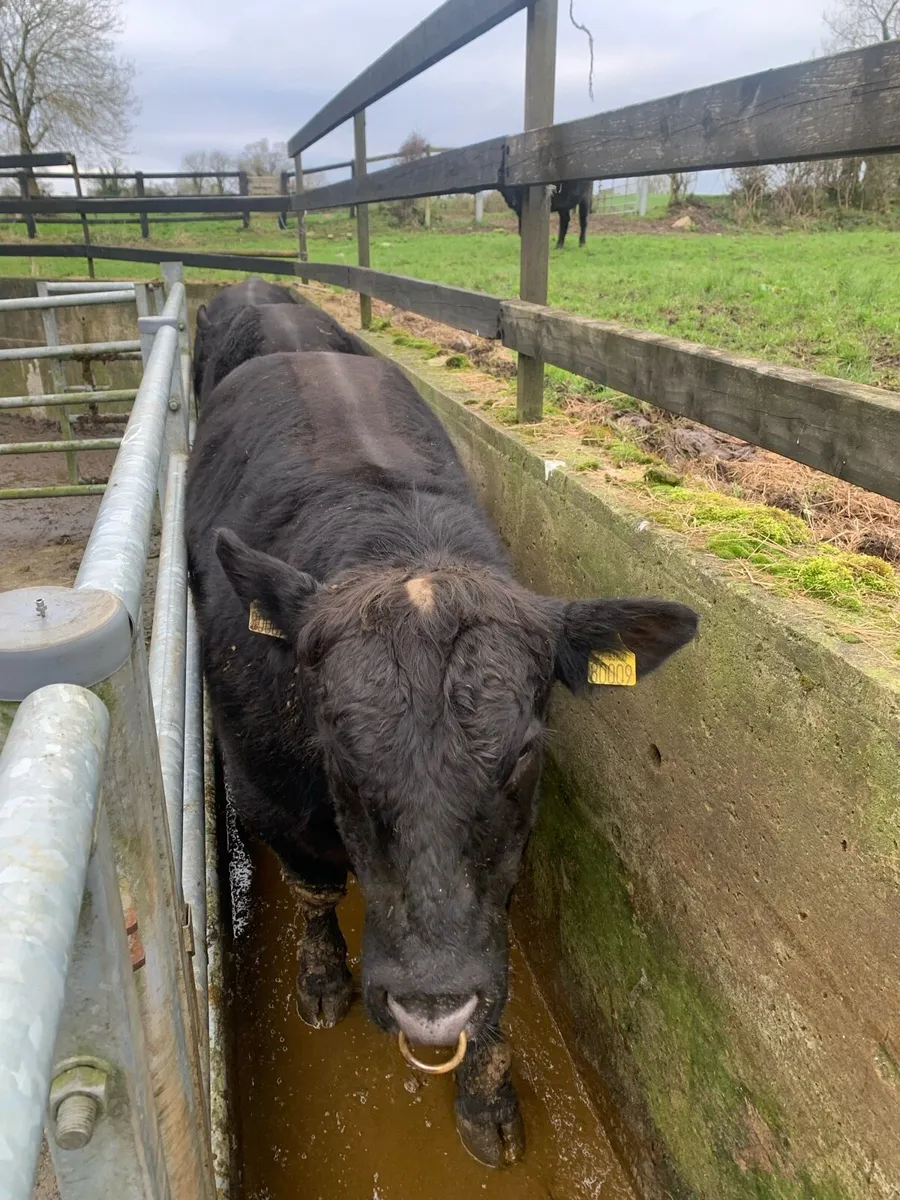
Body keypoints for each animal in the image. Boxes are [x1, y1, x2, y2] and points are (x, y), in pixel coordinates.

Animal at [185, 349, 698, 1168]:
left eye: (526, 750)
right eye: (334, 741)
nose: (430, 1007)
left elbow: (492, 951)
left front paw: (486, 1095)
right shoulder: (269, 798)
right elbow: (314, 890)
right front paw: (321, 978)